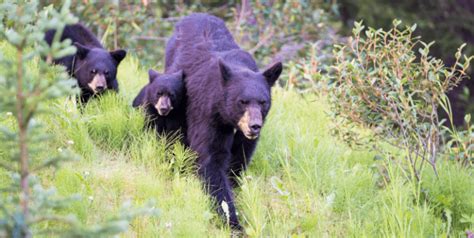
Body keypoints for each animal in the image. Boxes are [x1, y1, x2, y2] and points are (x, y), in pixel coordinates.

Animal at [167, 13, 284, 231]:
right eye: (242, 101)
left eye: (263, 102)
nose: (255, 126)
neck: (230, 119)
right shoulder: (208, 114)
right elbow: (212, 159)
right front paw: (233, 222)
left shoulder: (245, 138)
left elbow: (239, 158)